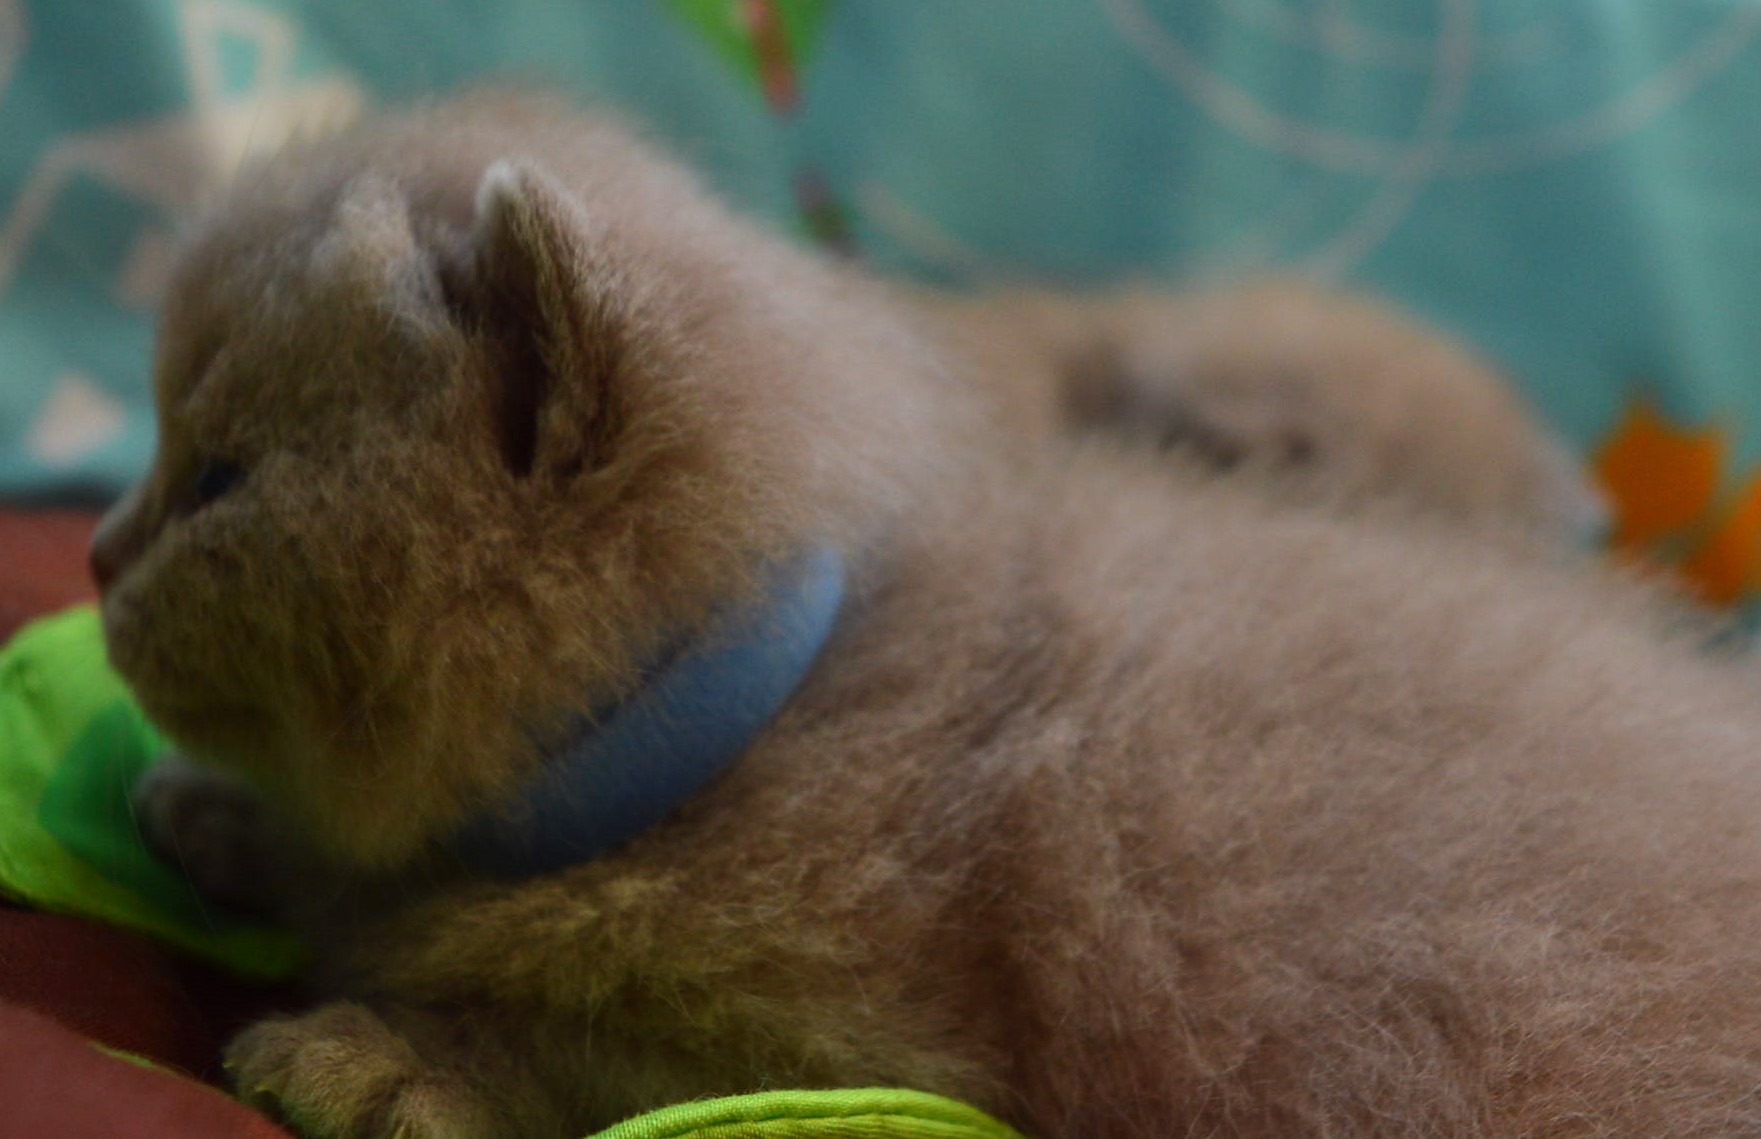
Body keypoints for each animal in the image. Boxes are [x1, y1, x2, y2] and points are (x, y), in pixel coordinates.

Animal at [95, 92, 1761, 1139]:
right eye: (170, 448)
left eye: (219, 479)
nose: (104, 552)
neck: (771, 710)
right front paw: (225, 821)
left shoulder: (863, 1047)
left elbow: (587, 1053)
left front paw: (375, 1056)